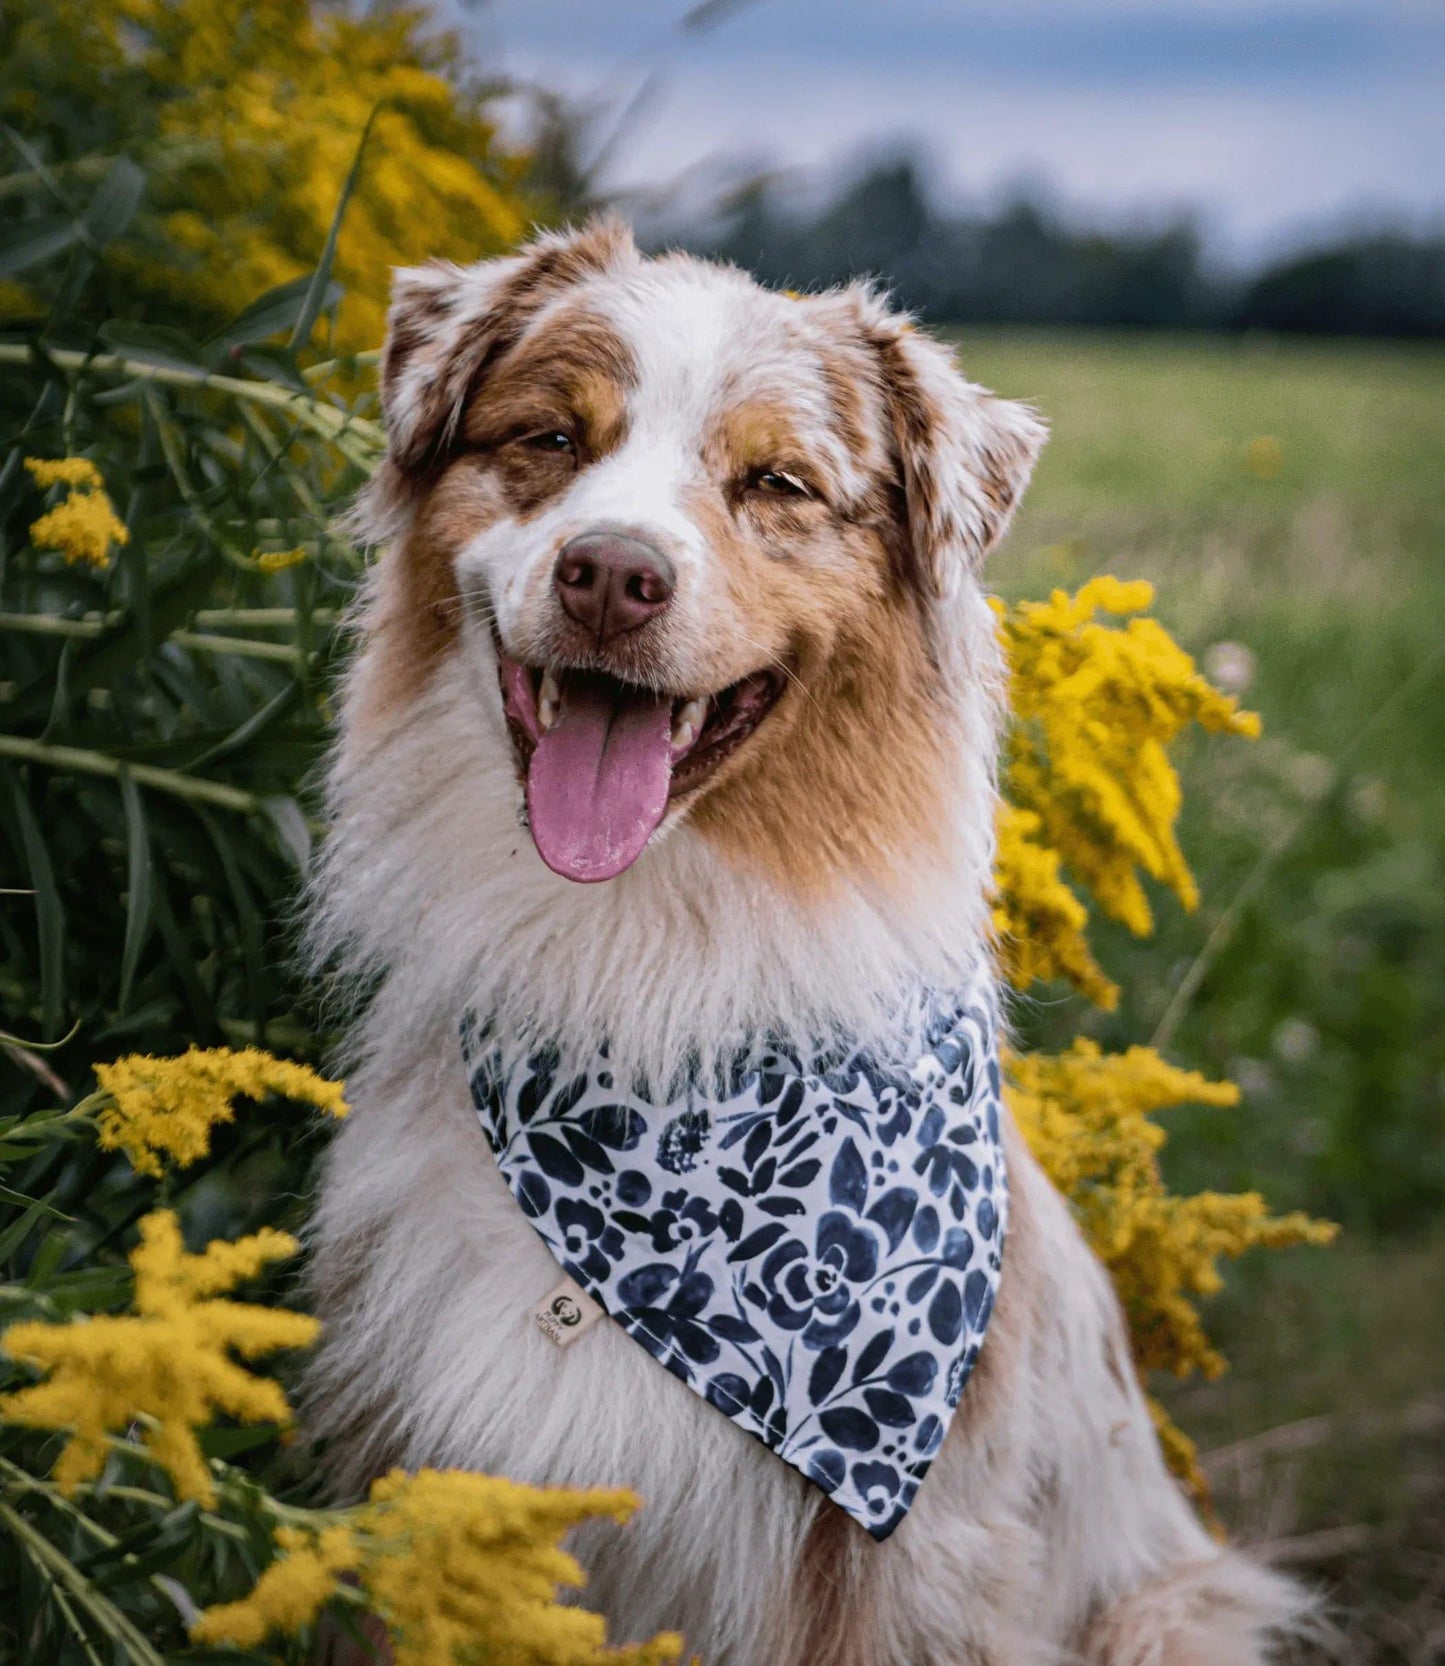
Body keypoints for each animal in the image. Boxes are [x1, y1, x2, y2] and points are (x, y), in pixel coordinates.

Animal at [305, 224, 1313, 1666]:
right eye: (549, 437)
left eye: (775, 481)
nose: (611, 576)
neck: (636, 973)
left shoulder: (906, 1565)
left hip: (1170, 1612)